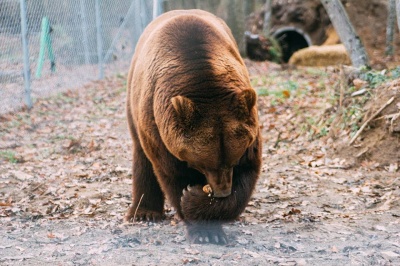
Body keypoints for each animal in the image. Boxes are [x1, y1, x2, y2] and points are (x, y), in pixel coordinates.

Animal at [125, 9, 262, 244]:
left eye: (233, 159)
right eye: (206, 163)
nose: (222, 191)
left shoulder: (248, 134)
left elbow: (248, 172)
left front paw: (199, 200)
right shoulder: (159, 130)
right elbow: (172, 174)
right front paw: (203, 227)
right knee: (142, 156)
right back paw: (144, 212)